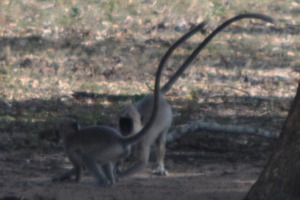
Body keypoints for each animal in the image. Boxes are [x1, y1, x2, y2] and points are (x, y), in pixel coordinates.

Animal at [118, 12, 276, 178]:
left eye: (127, 125)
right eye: (122, 124)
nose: (124, 131)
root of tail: (157, 95)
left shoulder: (142, 139)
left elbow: (142, 162)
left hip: (167, 120)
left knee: (161, 141)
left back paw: (160, 167)